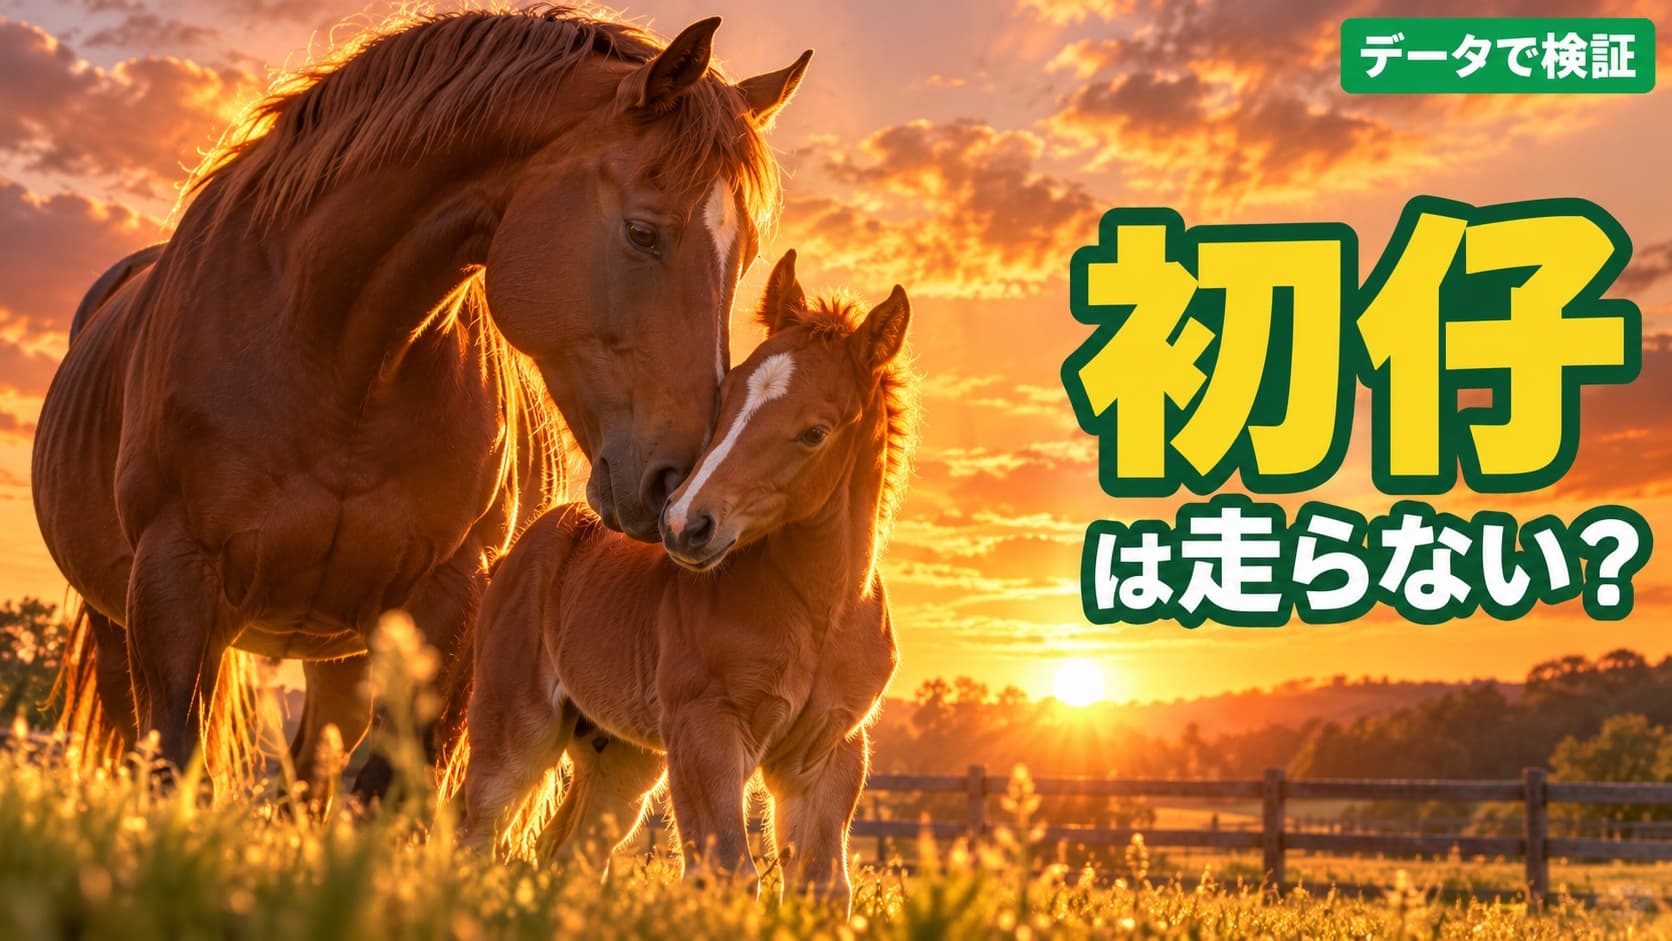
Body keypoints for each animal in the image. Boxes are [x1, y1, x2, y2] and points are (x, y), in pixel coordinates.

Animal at [31, 6, 813, 797]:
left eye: (744, 257)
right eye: (643, 232)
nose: (676, 486)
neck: (336, 356)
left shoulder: (448, 596)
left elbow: (383, 784)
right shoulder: (173, 580)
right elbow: (172, 764)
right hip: (117, 627)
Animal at [460, 250, 913, 911]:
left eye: (815, 432)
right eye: (725, 398)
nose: (683, 525)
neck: (819, 613)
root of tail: (540, 534)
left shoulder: (828, 753)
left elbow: (823, 887)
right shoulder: (705, 731)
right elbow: (727, 871)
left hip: (620, 761)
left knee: (565, 852)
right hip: (515, 729)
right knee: (475, 832)